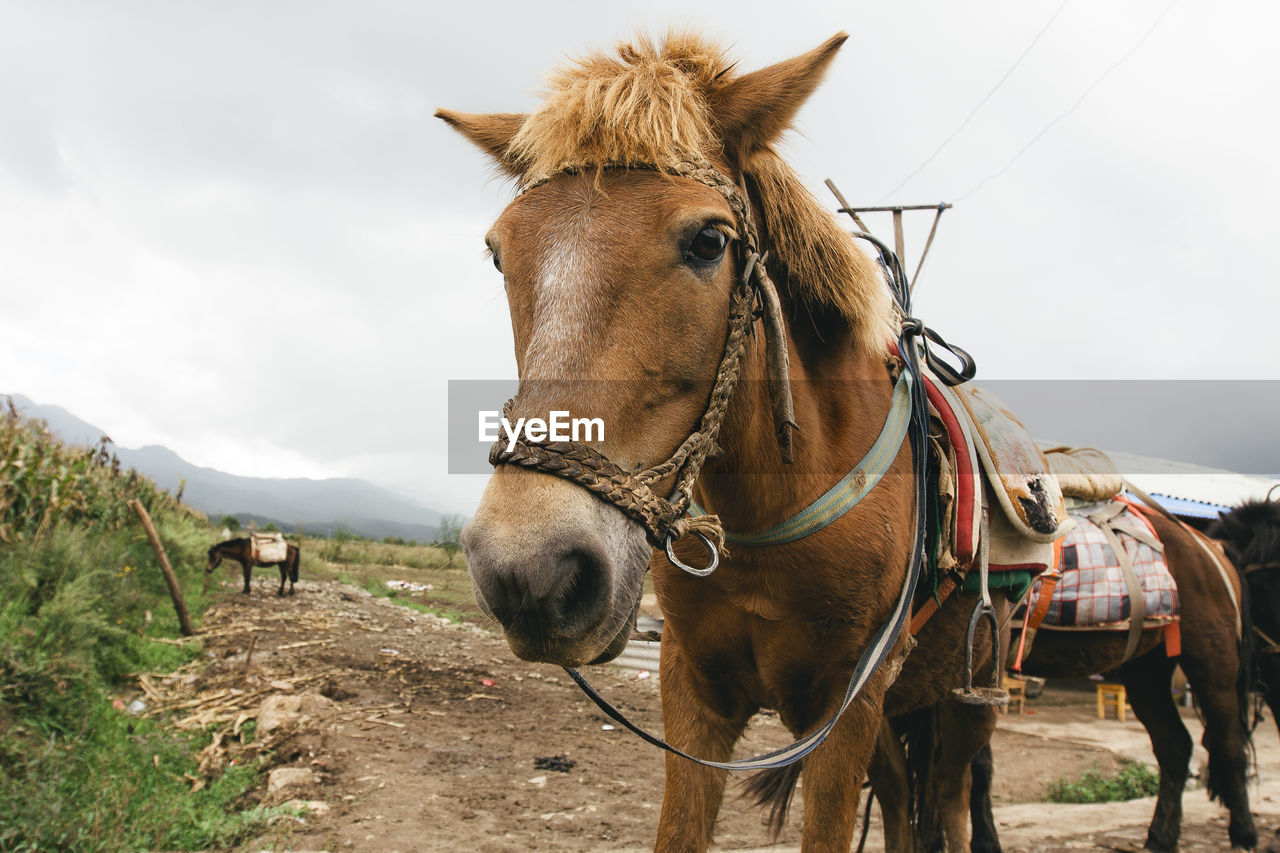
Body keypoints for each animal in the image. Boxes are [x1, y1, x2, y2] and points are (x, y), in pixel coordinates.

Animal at [440, 29, 1018, 845]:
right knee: (904, 796)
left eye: (710, 241)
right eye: (499, 252)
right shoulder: (693, 690)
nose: (531, 569)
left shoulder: (850, 702)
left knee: (950, 798)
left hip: (972, 697)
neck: (774, 512)